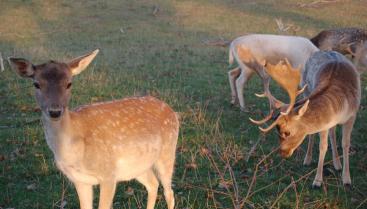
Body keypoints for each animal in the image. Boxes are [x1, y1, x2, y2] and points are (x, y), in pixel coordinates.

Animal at [8, 49, 180, 209]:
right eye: (36, 84)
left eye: (69, 83)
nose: (55, 111)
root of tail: (172, 111)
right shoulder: (79, 180)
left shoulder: (109, 173)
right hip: (138, 165)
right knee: (153, 183)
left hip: (168, 152)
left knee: (169, 192)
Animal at [252, 51, 360, 188]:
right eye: (277, 131)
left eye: (287, 132)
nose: (283, 153)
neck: (341, 106)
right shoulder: (325, 123)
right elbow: (323, 147)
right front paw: (317, 181)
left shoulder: (352, 115)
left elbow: (345, 144)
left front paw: (346, 179)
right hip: (305, 89)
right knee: (315, 135)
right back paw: (307, 160)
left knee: (332, 133)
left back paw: (337, 164)